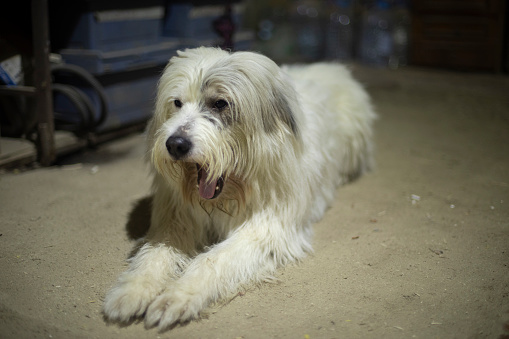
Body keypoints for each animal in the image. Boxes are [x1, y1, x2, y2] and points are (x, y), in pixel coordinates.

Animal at [101, 46, 376, 330]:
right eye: (177, 103)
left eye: (220, 103)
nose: (175, 144)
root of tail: (332, 66)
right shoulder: (174, 220)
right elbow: (154, 256)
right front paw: (132, 290)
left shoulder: (266, 228)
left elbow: (213, 258)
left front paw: (179, 295)